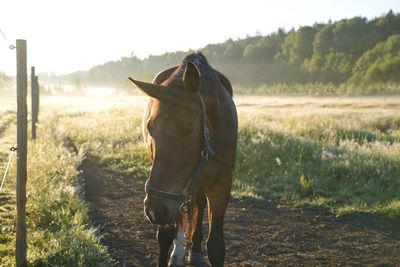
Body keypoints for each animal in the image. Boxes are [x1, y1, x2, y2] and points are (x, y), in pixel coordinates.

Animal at [129, 52, 238, 267]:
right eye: (150, 127)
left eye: (188, 129)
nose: (154, 210)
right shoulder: (171, 196)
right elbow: (165, 234)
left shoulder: (222, 183)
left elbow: (216, 247)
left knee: (198, 204)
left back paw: (194, 249)